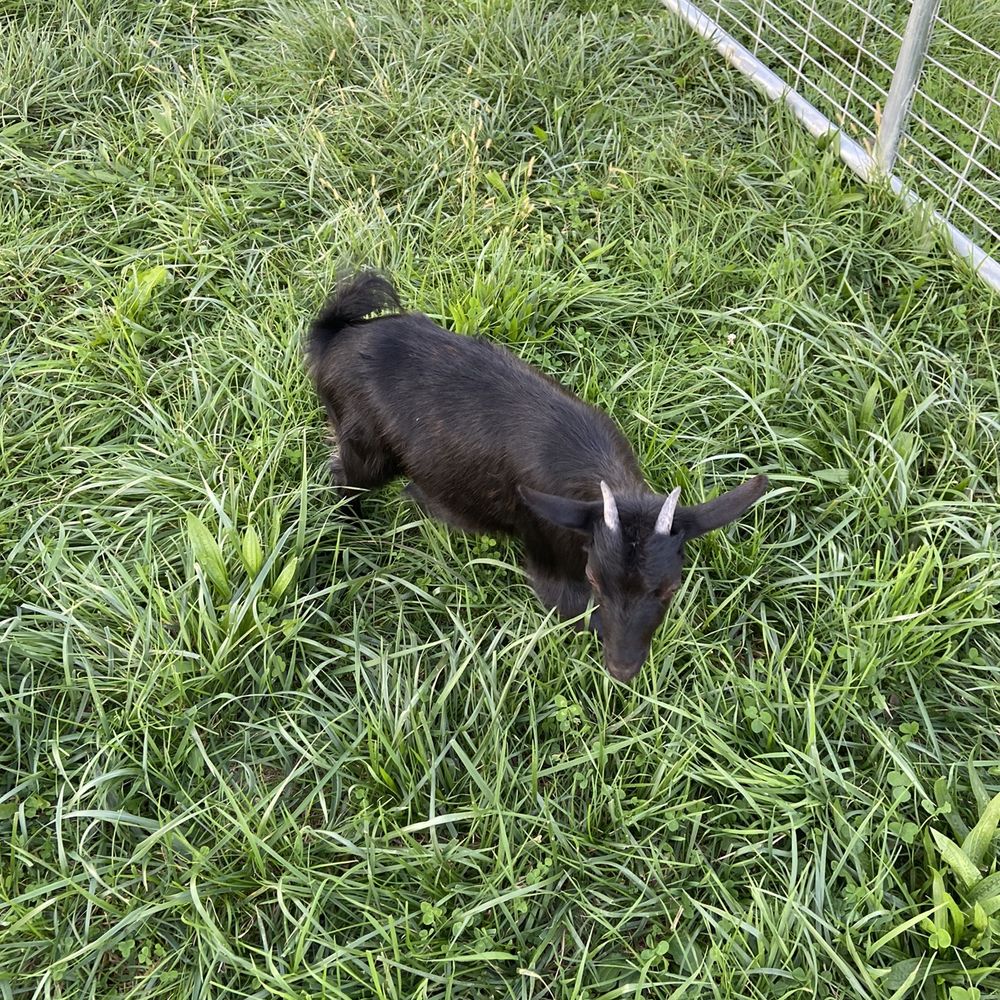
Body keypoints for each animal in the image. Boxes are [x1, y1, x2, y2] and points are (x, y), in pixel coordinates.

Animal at [306, 270, 768, 682]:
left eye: (670, 589)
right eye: (594, 578)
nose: (622, 670)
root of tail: (332, 338)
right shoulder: (550, 562)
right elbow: (580, 615)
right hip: (366, 449)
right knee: (342, 475)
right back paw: (352, 524)